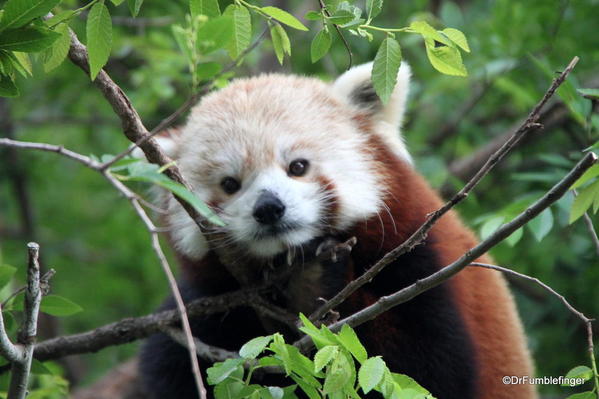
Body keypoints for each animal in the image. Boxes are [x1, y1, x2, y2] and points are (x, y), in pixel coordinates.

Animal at [139, 62, 540, 399]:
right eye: (229, 184)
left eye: (298, 166)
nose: (269, 208)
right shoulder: (206, 306)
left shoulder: (424, 265)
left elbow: (426, 368)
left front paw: (314, 281)